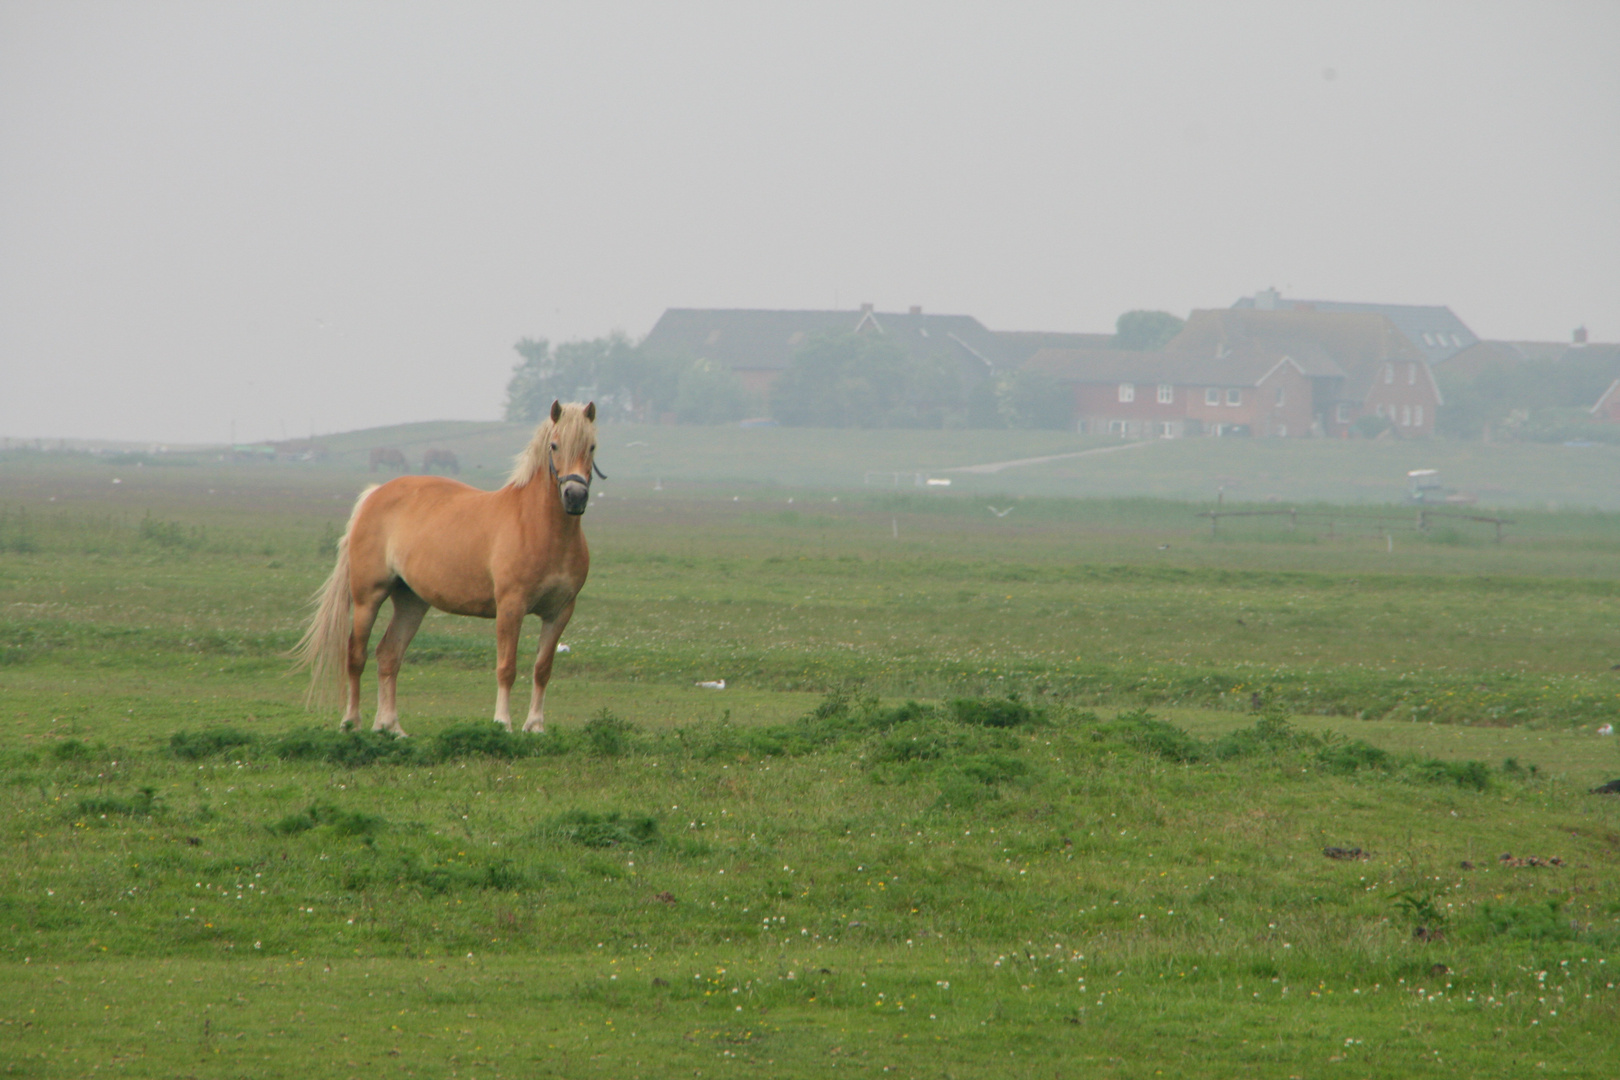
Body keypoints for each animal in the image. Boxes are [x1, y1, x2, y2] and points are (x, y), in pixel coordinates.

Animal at [294, 401, 605, 738]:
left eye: (592, 446)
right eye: (554, 445)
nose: (575, 497)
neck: (541, 527)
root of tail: (375, 494)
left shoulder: (559, 612)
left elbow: (542, 669)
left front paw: (535, 725)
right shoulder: (511, 607)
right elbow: (506, 668)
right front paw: (503, 723)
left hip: (412, 602)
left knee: (389, 655)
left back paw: (390, 726)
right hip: (368, 598)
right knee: (356, 655)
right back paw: (352, 722)